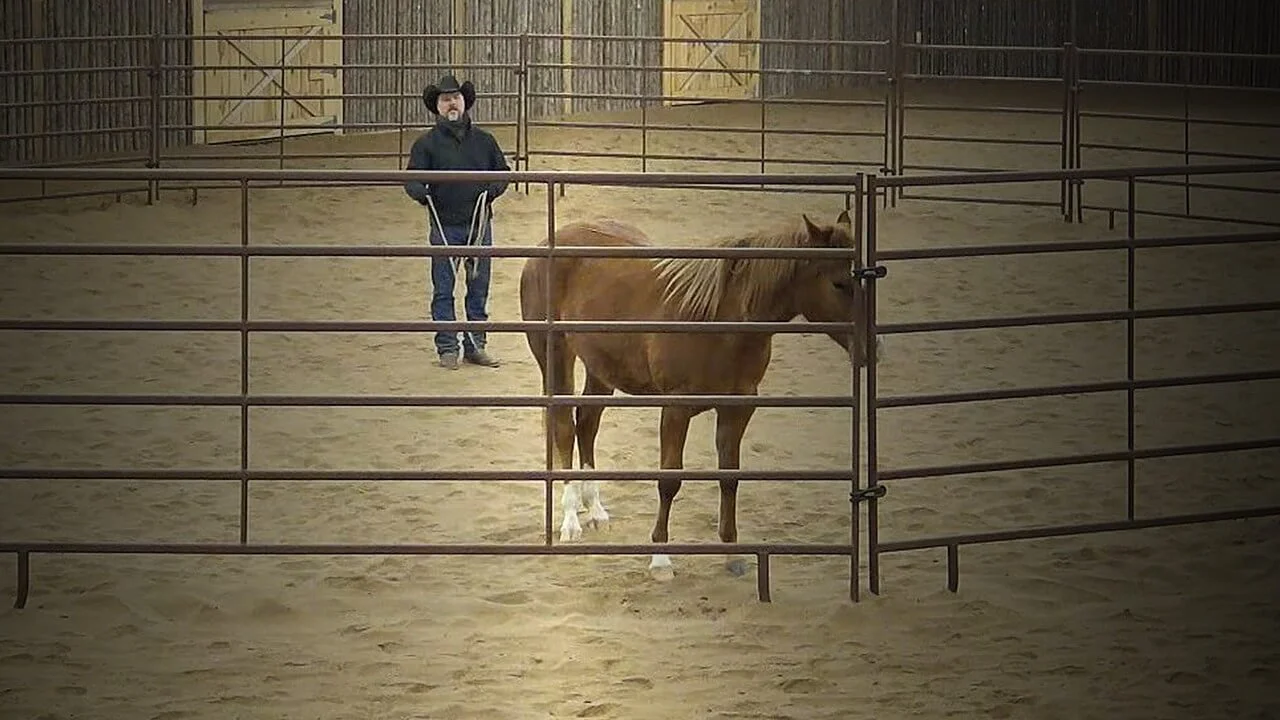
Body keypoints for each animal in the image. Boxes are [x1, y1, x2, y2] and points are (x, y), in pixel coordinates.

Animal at [518, 210, 868, 582]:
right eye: (838, 283)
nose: (868, 349)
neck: (720, 320)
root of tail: (549, 243)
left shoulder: (738, 408)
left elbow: (730, 478)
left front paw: (732, 555)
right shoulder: (676, 407)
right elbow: (669, 481)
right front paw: (661, 560)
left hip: (601, 367)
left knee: (586, 423)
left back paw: (596, 511)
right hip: (556, 358)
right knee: (564, 428)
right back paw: (570, 522)